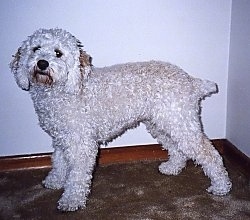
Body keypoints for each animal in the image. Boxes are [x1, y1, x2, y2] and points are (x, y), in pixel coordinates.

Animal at [9, 27, 232, 211]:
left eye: (58, 53)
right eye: (36, 48)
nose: (42, 63)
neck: (65, 88)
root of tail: (190, 81)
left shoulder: (81, 145)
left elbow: (77, 176)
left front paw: (71, 200)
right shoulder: (62, 139)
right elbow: (58, 162)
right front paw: (54, 181)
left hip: (180, 124)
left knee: (210, 154)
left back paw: (221, 186)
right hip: (162, 124)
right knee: (177, 149)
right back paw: (172, 168)